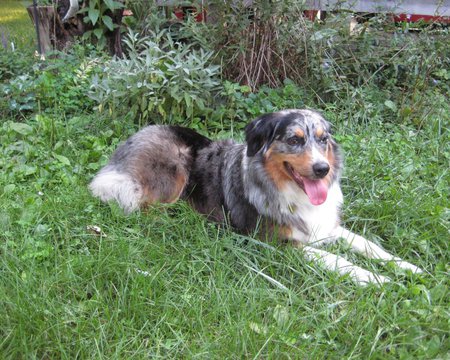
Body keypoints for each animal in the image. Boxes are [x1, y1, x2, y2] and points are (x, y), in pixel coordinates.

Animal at [90, 109, 422, 284]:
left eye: (323, 139)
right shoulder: (277, 244)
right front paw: (378, 280)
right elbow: (338, 259)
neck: (288, 189)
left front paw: (408, 267)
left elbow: (369, 245)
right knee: (143, 207)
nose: (322, 168)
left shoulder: (325, 226)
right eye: (294, 140)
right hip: (174, 168)